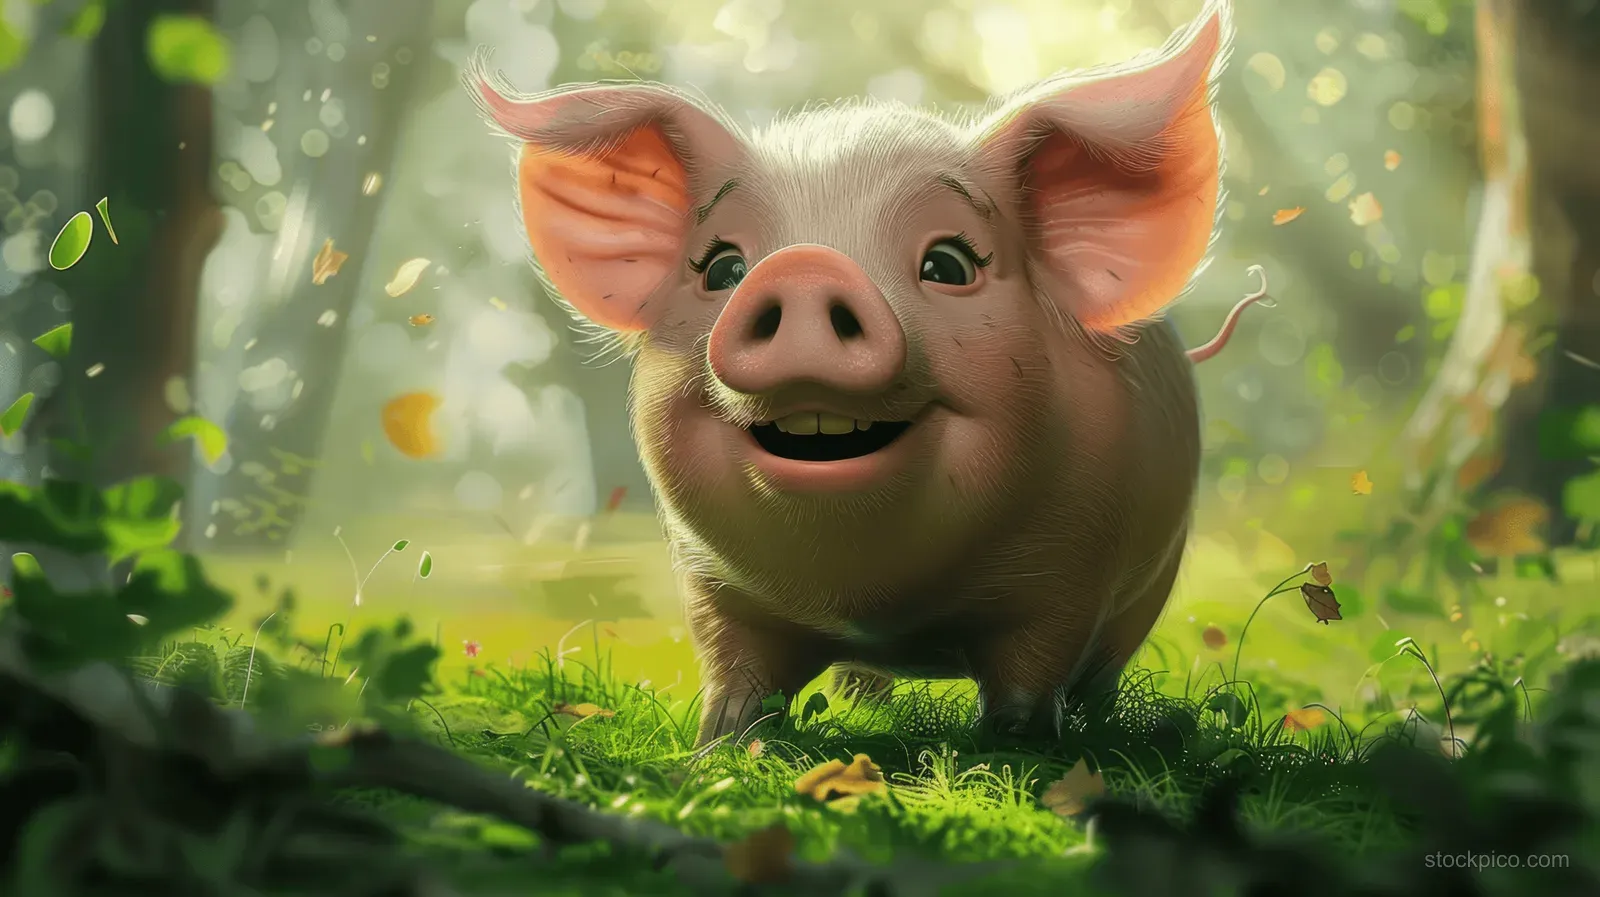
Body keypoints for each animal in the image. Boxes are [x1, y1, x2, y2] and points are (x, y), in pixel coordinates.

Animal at [468, 0, 1266, 747]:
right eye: (723, 268)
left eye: (949, 264)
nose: (804, 265)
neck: (881, 612)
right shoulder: (712, 585)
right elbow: (735, 671)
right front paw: (716, 750)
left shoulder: (1073, 572)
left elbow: (1030, 679)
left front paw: (1015, 750)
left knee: (1105, 664)